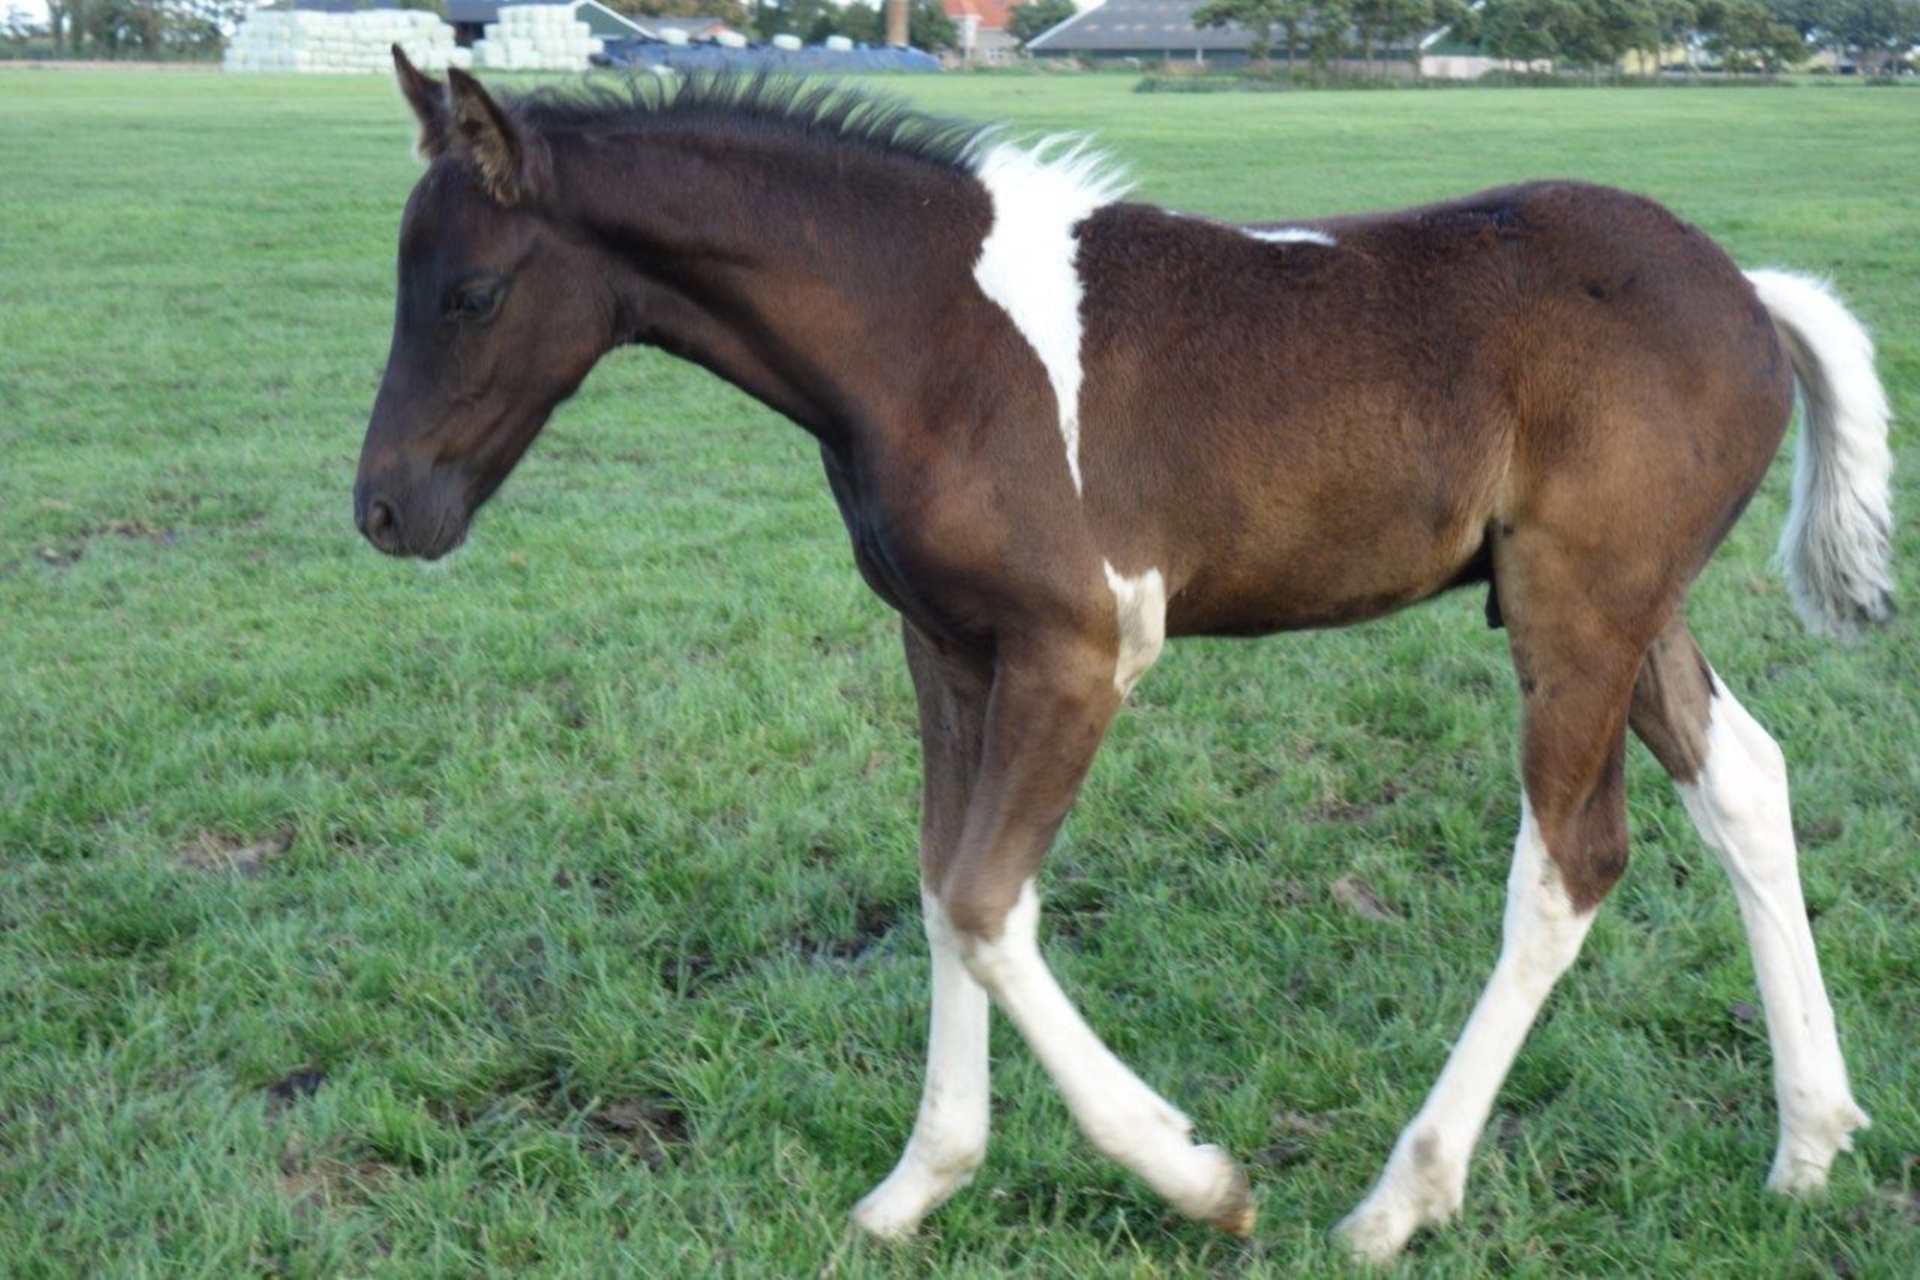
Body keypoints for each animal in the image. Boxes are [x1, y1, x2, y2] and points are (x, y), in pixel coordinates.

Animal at [357, 55, 1889, 1258]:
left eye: (472, 291)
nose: (383, 510)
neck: (934, 338)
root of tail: (1745, 290)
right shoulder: (947, 646)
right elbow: (941, 885)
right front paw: (918, 1184)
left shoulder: (1080, 651)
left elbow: (986, 903)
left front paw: (1196, 1176)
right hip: (1629, 609)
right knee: (1745, 783)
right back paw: (1810, 1144)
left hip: (1579, 607)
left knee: (1570, 861)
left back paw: (1401, 1200)